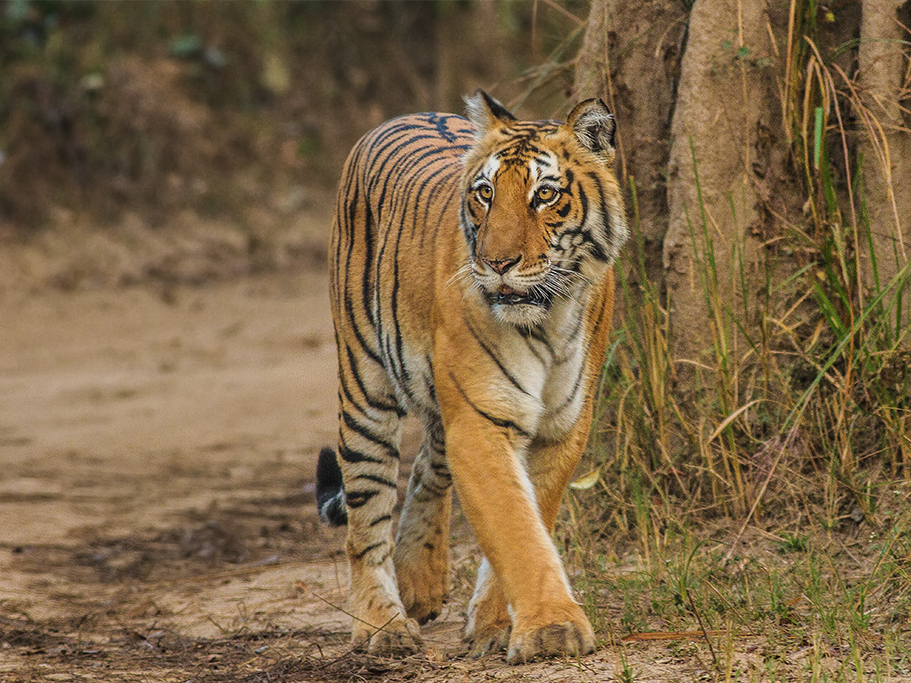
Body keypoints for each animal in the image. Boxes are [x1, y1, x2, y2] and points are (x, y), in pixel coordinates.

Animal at [316, 89, 628, 664]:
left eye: (544, 194)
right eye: (485, 193)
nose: (497, 263)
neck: (548, 319)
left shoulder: (562, 426)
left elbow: (532, 517)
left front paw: (496, 624)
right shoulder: (482, 423)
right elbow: (515, 528)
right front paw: (552, 628)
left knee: (426, 468)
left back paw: (420, 582)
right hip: (365, 386)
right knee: (365, 519)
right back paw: (382, 625)